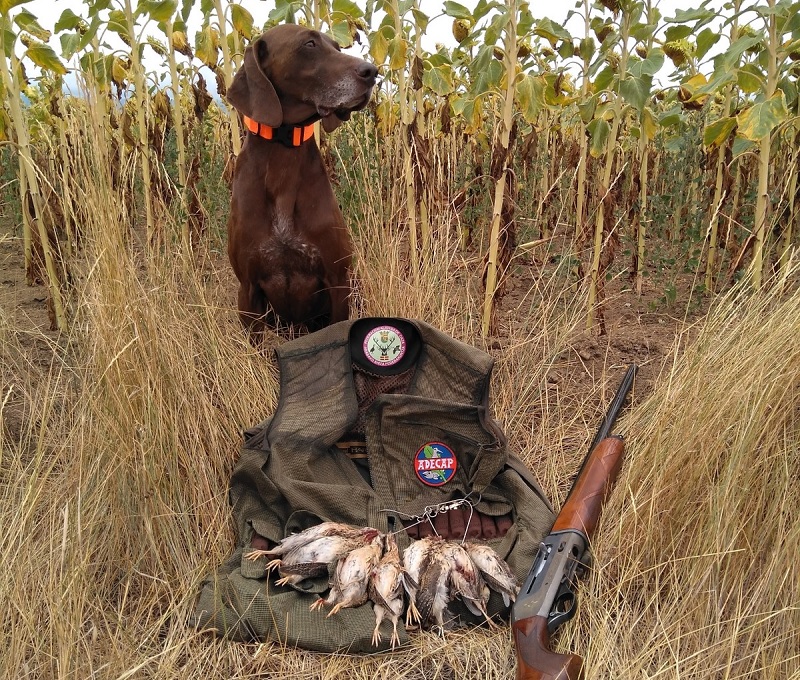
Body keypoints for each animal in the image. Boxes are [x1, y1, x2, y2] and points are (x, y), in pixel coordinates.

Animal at [223, 25, 376, 334]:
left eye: (337, 48)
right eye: (309, 44)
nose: (373, 72)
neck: (284, 148)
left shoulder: (338, 282)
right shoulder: (247, 290)